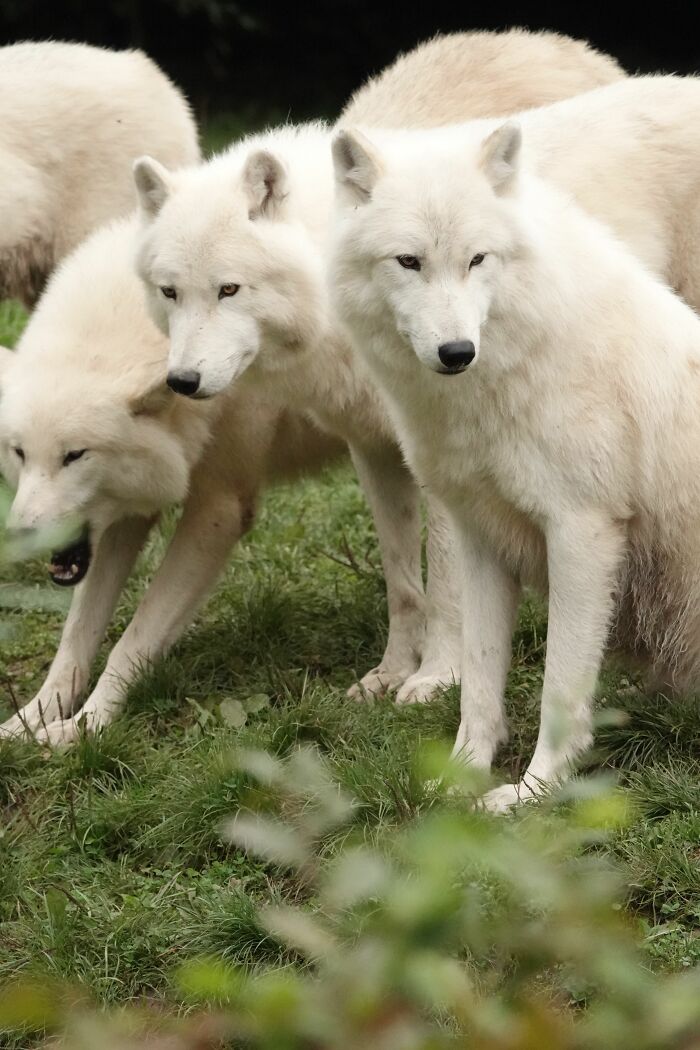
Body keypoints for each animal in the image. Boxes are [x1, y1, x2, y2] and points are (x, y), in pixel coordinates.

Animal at [0, 218, 342, 744]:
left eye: (75, 455)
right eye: (20, 453)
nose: (21, 535)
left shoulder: (219, 511)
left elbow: (133, 639)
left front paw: (83, 729)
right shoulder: (125, 516)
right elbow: (76, 636)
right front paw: (31, 719)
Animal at [131, 29, 622, 710]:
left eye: (229, 289)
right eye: (170, 292)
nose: (183, 383)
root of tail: (563, 45)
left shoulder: (443, 462)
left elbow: (447, 584)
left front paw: (438, 676)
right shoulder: (372, 450)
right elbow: (402, 579)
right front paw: (391, 672)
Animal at [330, 100, 700, 809]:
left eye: (478, 259)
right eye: (409, 261)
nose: (456, 352)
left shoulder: (583, 535)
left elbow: (560, 687)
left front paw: (533, 793)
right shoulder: (481, 537)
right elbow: (477, 683)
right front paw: (462, 776)